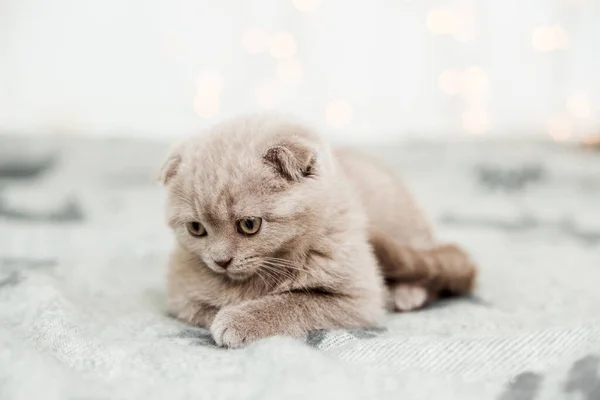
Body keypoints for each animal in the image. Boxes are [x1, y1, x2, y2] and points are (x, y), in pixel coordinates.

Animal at [161, 113, 478, 346]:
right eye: (196, 228)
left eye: (249, 225)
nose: (220, 260)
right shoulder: (181, 297)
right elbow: (203, 308)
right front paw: (225, 310)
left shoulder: (359, 300)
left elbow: (296, 301)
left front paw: (239, 319)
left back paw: (407, 293)